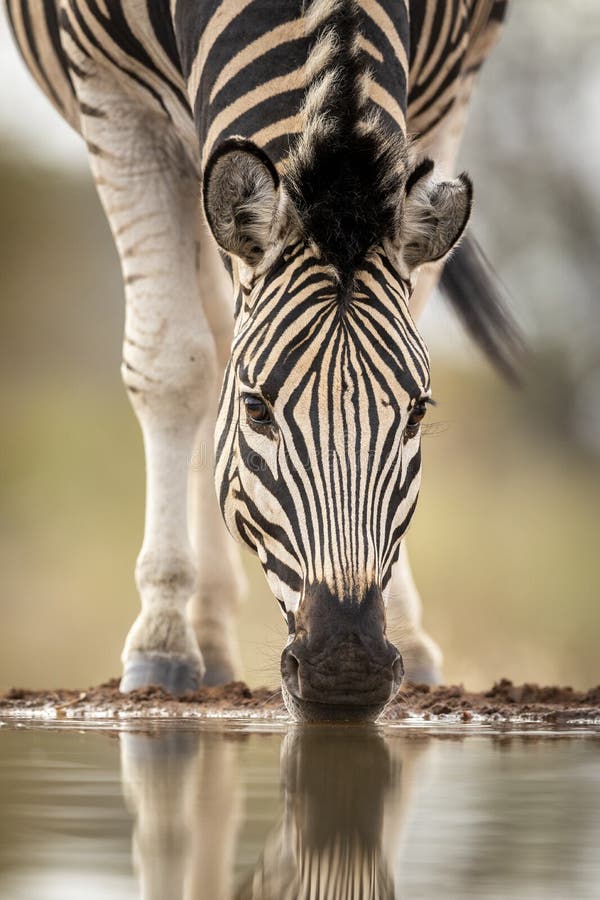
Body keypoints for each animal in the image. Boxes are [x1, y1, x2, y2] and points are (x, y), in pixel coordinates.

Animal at [5, 0, 520, 716]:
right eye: (255, 410)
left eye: (418, 414)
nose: (347, 668)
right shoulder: (111, 92)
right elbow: (172, 364)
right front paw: (161, 639)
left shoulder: (450, 87)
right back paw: (200, 638)